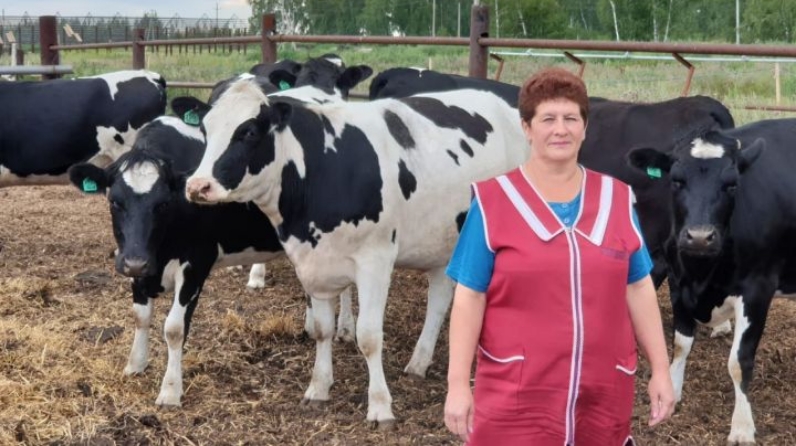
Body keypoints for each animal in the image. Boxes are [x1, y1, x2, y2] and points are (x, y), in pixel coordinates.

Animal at [68, 115, 356, 407]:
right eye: (114, 201)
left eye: (163, 204)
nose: (136, 262)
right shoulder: (139, 265)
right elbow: (140, 317)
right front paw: (135, 365)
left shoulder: (195, 263)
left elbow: (174, 328)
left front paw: (170, 390)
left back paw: (345, 328)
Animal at [182, 78, 530, 427]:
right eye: (205, 129)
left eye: (249, 131)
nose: (197, 186)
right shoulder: (312, 262)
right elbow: (322, 330)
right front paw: (319, 388)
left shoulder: (375, 260)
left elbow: (369, 336)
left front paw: (380, 407)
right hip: (443, 240)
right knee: (441, 297)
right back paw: (419, 362)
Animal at [627, 118, 796, 445]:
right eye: (676, 180)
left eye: (732, 184)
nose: (700, 237)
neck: (702, 276)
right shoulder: (678, 280)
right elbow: (680, 344)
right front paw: (671, 391)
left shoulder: (757, 289)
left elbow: (739, 361)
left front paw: (742, 426)